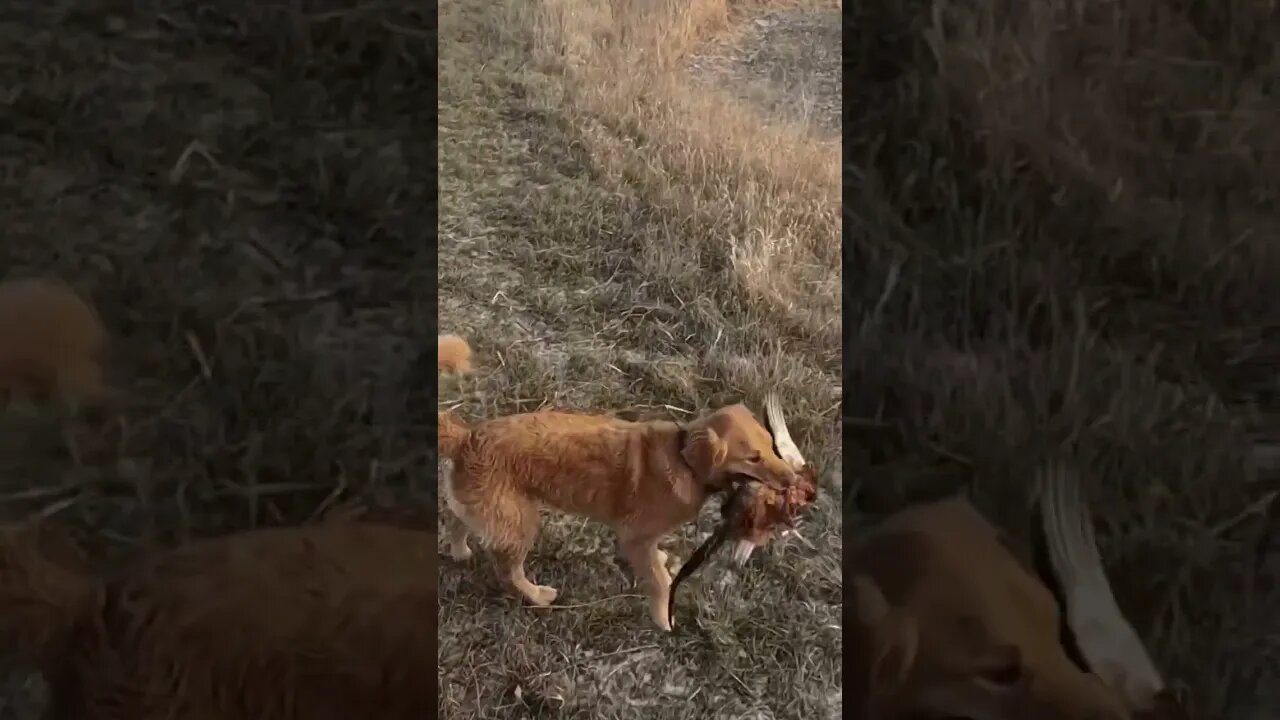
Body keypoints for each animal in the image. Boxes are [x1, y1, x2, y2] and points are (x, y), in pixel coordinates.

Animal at [440, 394, 798, 630]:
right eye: (753, 458)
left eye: (771, 445)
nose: (794, 479)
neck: (684, 456)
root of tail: (467, 437)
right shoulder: (634, 538)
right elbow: (659, 581)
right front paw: (663, 617)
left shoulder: (647, 538)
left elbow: (657, 562)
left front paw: (663, 562)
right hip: (521, 523)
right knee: (508, 572)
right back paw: (537, 596)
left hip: (488, 509)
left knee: (458, 523)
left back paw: (460, 552)